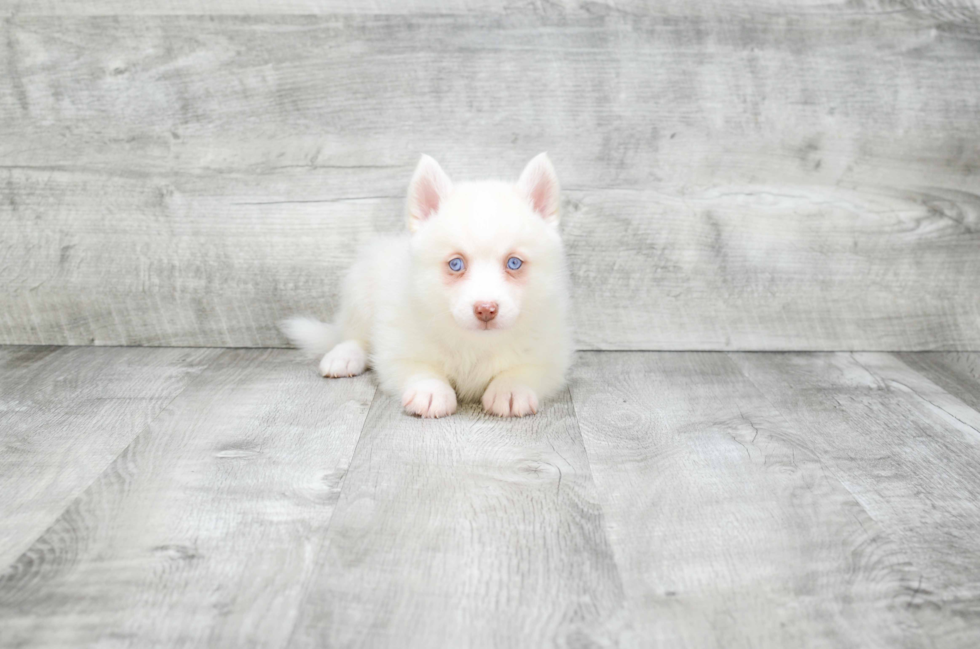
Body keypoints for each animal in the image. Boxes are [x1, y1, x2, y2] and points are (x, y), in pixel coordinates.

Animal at [280, 153, 576, 418]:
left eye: (514, 263)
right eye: (456, 264)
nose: (486, 309)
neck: (474, 343)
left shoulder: (551, 353)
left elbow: (527, 368)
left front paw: (511, 388)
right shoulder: (397, 347)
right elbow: (418, 367)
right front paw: (431, 391)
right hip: (360, 289)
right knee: (354, 335)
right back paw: (343, 356)